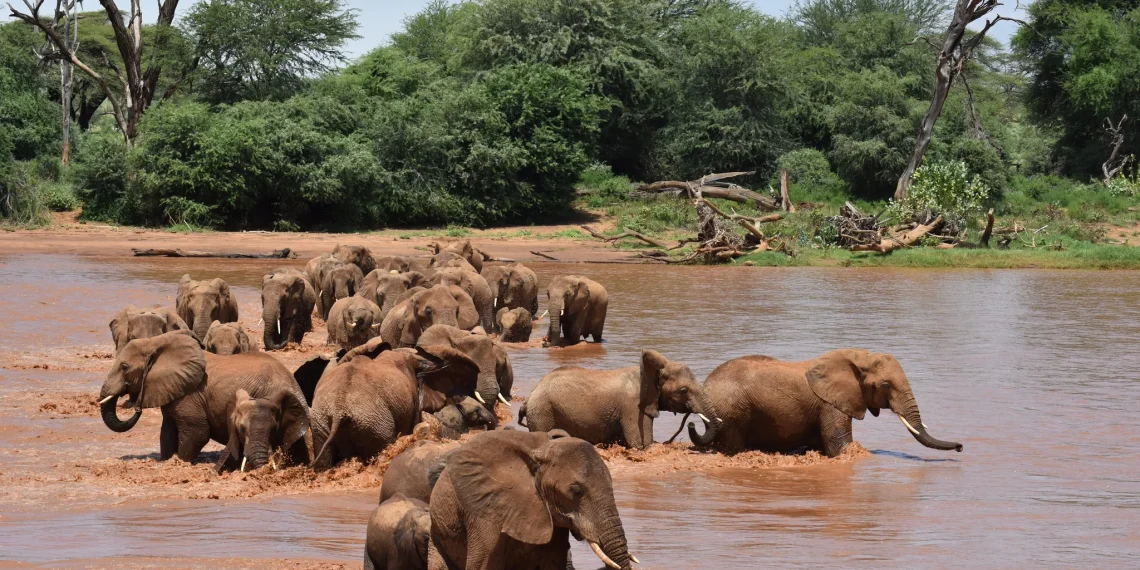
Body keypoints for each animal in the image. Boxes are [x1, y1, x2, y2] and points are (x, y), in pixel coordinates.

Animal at [98, 331, 310, 470]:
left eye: (124, 367)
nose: (134, 405)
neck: (157, 342)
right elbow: (167, 432)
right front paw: (166, 461)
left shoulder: (190, 394)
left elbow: (196, 433)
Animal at [518, 350, 709, 450]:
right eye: (683, 390)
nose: (691, 422)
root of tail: (529, 398)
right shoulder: (633, 408)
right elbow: (641, 445)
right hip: (543, 413)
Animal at [686, 349, 964, 457]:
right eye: (886, 385)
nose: (961, 447)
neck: (857, 357)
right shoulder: (830, 405)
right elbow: (840, 448)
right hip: (733, 410)